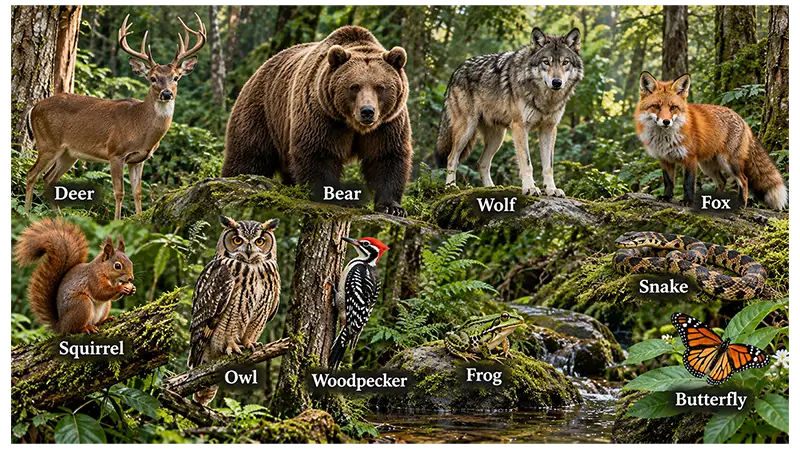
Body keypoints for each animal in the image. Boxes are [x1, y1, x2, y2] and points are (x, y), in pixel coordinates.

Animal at [25, 13, 206, 220]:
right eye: (152, 78)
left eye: (176, 77)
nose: (167, 94)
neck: (141, 127)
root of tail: (33, 108)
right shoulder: (115, 152)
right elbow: (119, 192)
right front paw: (117, 221)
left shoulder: (138, 159)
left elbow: (137, 192)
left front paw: (139, 218)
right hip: (48, 143)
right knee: (31, 174)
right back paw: (26, 214)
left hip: (68, 153)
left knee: (49, 179)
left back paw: (60, 218)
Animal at [222, 26, 413, 216]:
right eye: (354, 86)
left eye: (380, 87)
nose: (367, 111)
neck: (352, 124)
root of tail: (257, 72)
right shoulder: (322, 115)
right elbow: (318, 151)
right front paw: (338, 199)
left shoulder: (387, 123)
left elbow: (386, 156)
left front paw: (392, 207)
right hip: (263, 114)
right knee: (249, 156)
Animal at [635, 71, 787, 210]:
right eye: (656, 106)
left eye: (673, 107)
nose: (666, 122)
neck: (665, 138)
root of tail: (743, 120)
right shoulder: (664, 159)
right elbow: (669, 182)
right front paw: (666, 197)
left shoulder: (690, 158)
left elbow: (688, 184)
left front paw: (687, 202)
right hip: (708, 166)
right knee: (722, 181)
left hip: (729, 163)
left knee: (744, 180)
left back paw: (741, 205)